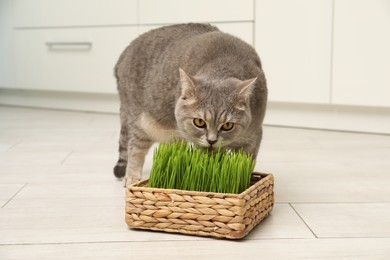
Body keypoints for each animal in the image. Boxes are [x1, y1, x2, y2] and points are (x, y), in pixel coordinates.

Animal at [111, 22, 266, 185]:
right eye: (199, 122)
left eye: (228, 125)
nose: (212, 140)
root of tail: (124, 54)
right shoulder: (200, 145)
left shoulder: (254, 137)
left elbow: (247, 163)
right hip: (141, 122)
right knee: (135, 148)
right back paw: (132, 178)